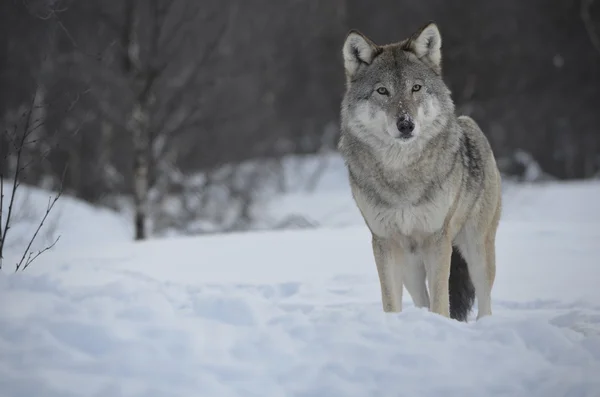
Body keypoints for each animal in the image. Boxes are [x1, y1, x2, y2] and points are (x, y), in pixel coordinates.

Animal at [338, 20, 502, 320]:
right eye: (382, 91)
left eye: (416, 88)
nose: (406, 124)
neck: (402, 175)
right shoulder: (385, 242)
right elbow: (391, 302)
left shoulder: (437, 239)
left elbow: (441, 302)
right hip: (410, 268)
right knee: (421, 300)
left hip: (477, 250)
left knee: (485, 303)